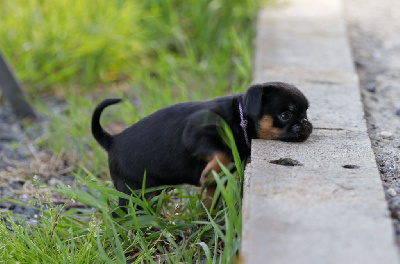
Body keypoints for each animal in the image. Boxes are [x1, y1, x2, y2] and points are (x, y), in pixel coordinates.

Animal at [91, 82, 312, 210]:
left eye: (306, 113)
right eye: (286, 115)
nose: (306, 123)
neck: (240, 117)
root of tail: (112, 140)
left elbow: (212, 192)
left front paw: (209, 214)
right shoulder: (197, 134)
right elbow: (223, 153)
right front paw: (207, 174)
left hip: (150, 189)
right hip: (132, 190)